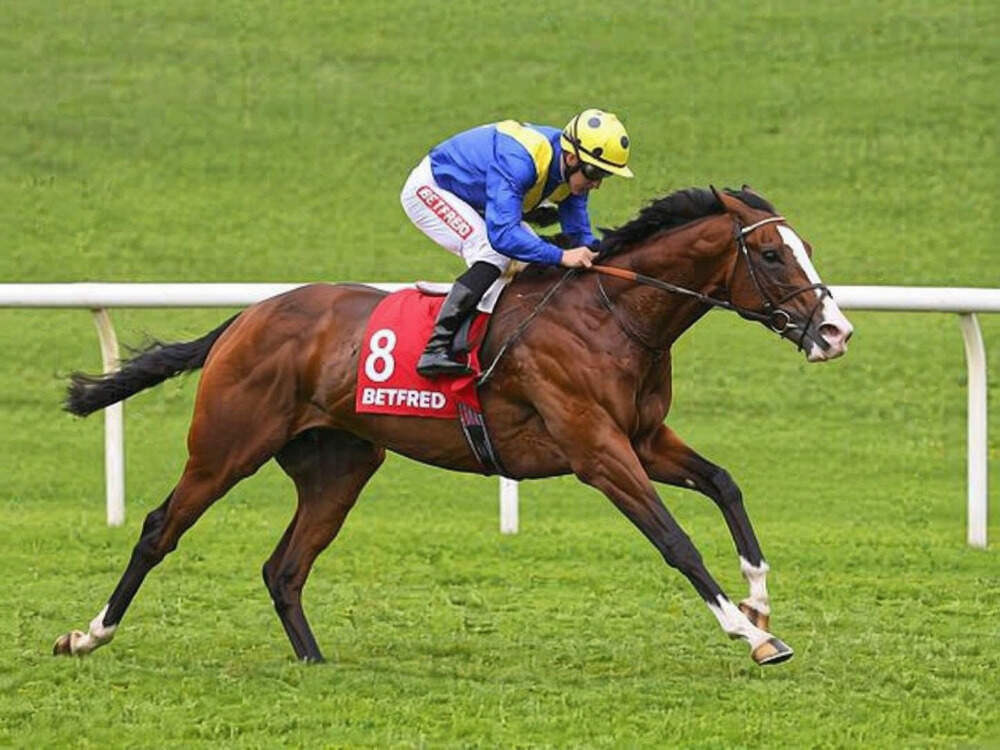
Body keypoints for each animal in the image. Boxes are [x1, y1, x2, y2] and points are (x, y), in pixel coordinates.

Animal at [53, 186, 852, 666]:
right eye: (772, 253)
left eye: (806, 248)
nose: (835, 331)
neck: (610, 315)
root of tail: (247, 317)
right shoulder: (597, 451)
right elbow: (675, 540)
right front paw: (749, 634)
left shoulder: (645, 440)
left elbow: (724, 483)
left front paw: (759, 599)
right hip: (227, 447)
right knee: (160, 529)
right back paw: (88, 635)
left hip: (340, 466)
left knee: (284, 566)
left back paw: (314, 661)